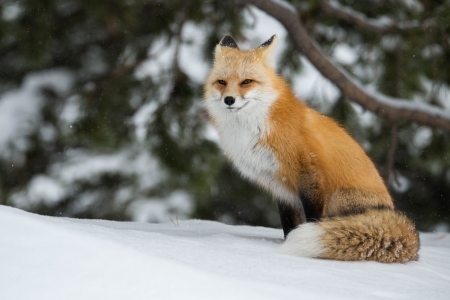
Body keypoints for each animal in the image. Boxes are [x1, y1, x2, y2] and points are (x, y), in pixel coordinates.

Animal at [202, 34, 420, 262]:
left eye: (246, 81)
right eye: (221, 82)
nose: (229, 100)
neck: (255, 128)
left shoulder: (309, 173)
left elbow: (313, 218)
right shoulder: (279, 185)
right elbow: (288, 224)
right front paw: (288, 242)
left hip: (337, 197)